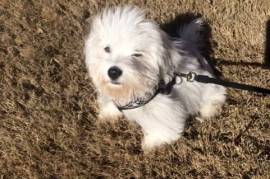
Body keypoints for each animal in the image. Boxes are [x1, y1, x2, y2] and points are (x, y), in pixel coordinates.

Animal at [84, 5, 226, 150]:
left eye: (137, 54)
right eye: (107, 49)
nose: (113, 72)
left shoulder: (163, 107)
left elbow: (160, 125)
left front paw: (153, 142)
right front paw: (108, 113)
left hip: (208, 86)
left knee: (217, 94)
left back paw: (208, 111)